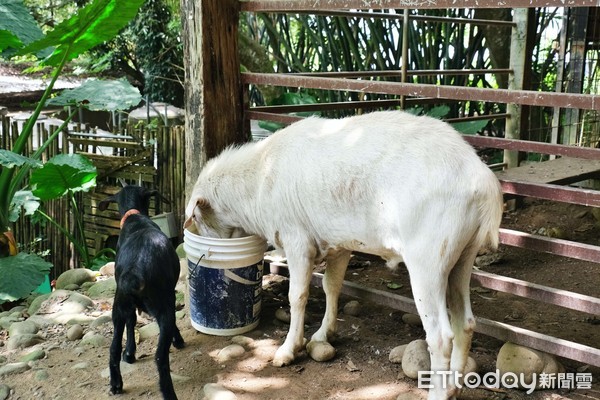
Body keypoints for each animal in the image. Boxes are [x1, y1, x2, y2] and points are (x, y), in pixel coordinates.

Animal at [98, 186, 184, 398]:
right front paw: (178, 339)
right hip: (162, 306)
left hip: (118, 307)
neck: (135, 216)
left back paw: (116, 383)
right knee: (160, 357)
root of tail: (135, 271)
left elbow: (131, 323)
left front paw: (129, 353)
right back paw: (169, 392)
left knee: (113, 348)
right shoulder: (170, 297)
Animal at [185, 110, 504, 400]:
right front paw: (323, 335)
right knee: (466, 322)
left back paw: (438, 393)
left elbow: (297, 296)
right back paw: (453, 386)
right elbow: (332, 286)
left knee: (440, 337)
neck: (259, 177)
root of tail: (482, 181)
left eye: (197, 218)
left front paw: (288, 349)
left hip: (428, 259)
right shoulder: (337, 244)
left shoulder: (297, 240)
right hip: (462, 255)